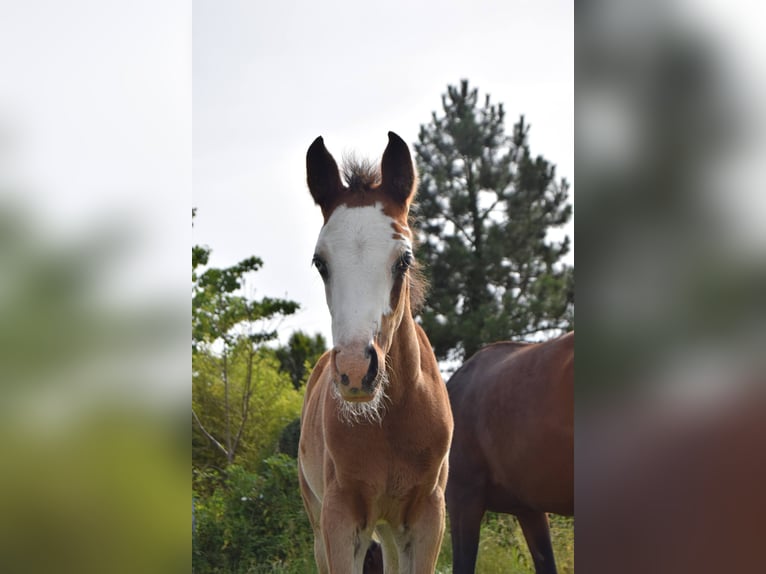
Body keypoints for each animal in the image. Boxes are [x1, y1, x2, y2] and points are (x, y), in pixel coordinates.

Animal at [298, 133, 456, 572]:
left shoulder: (428, 517)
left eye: (404, 260)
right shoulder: (340, 518)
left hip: (390, 529)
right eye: (320, 263)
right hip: (319, 520)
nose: (355, 370)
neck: (390, 419)